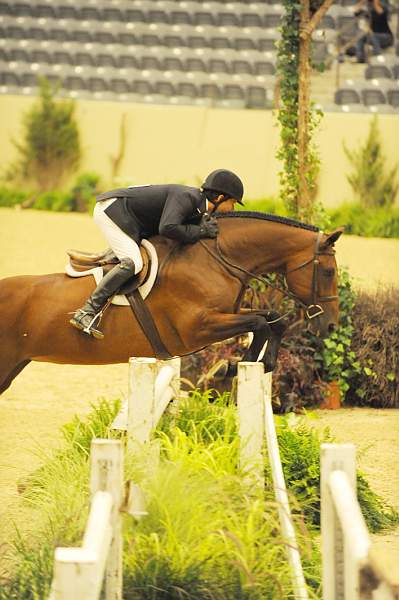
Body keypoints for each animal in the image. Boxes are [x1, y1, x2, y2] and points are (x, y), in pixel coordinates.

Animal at [0, 211, 344, 394]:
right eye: (328, 271)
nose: (330, 326)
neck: (218, 258)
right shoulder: (198, 327)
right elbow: (260, 322)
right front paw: (226, 368)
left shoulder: (228, 313)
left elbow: (273, 319)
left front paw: (249, 364)